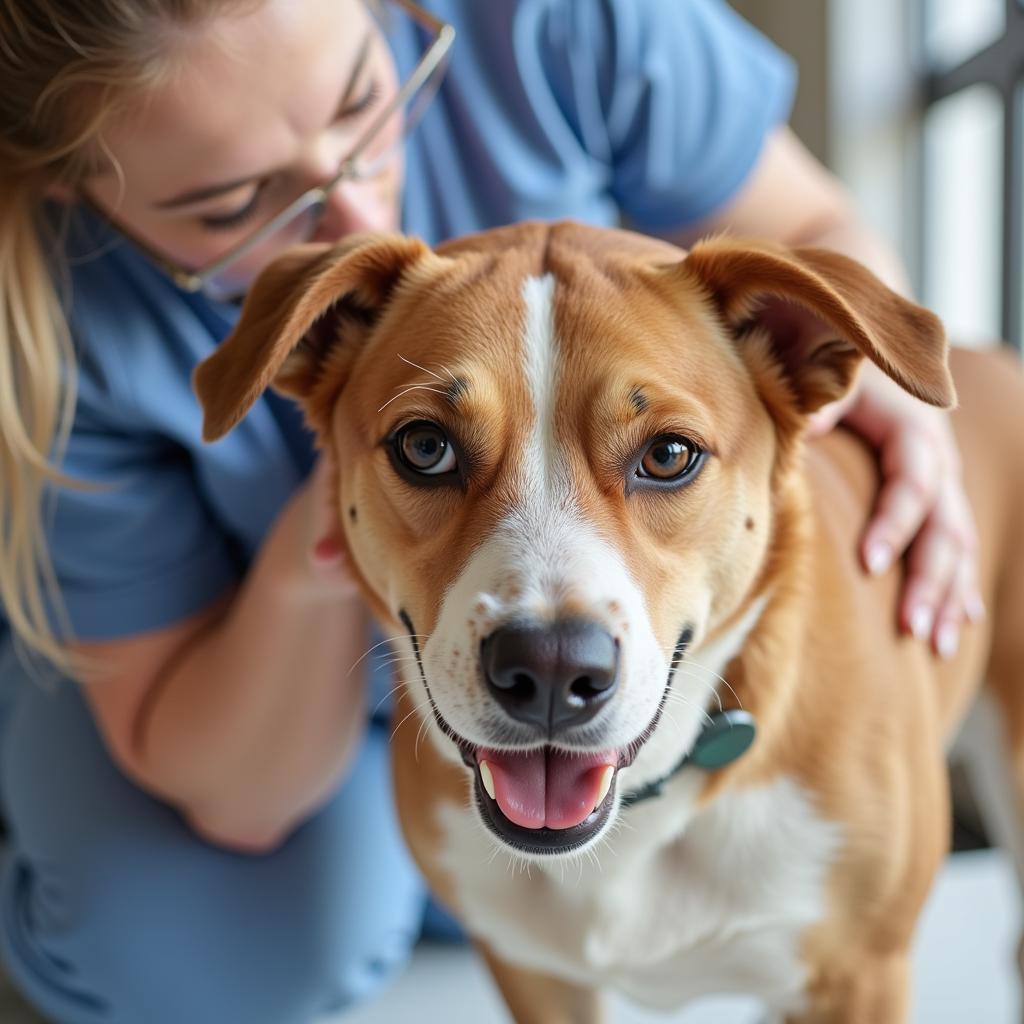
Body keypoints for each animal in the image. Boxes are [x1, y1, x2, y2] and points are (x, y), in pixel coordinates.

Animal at [192, 224, 1024, 1024]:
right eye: (424, 447)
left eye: (669, 454)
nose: (551, 667)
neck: (641, 815)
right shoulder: (535, 974)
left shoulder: (858, 975)